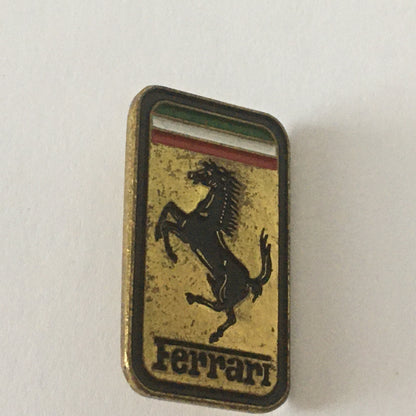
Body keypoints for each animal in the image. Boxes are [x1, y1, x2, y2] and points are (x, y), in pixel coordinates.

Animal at [155, 160, 272, 343]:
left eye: (208, 173)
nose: (190, 174)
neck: (207, 215)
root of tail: (249, 280)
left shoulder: (186, 234)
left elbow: (167, 224)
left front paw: (171, 254)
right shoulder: (183, 222)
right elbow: (169, 206)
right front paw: (157, 234)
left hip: (226, 290)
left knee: (223, 310)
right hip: (220, 286)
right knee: (227, 313)